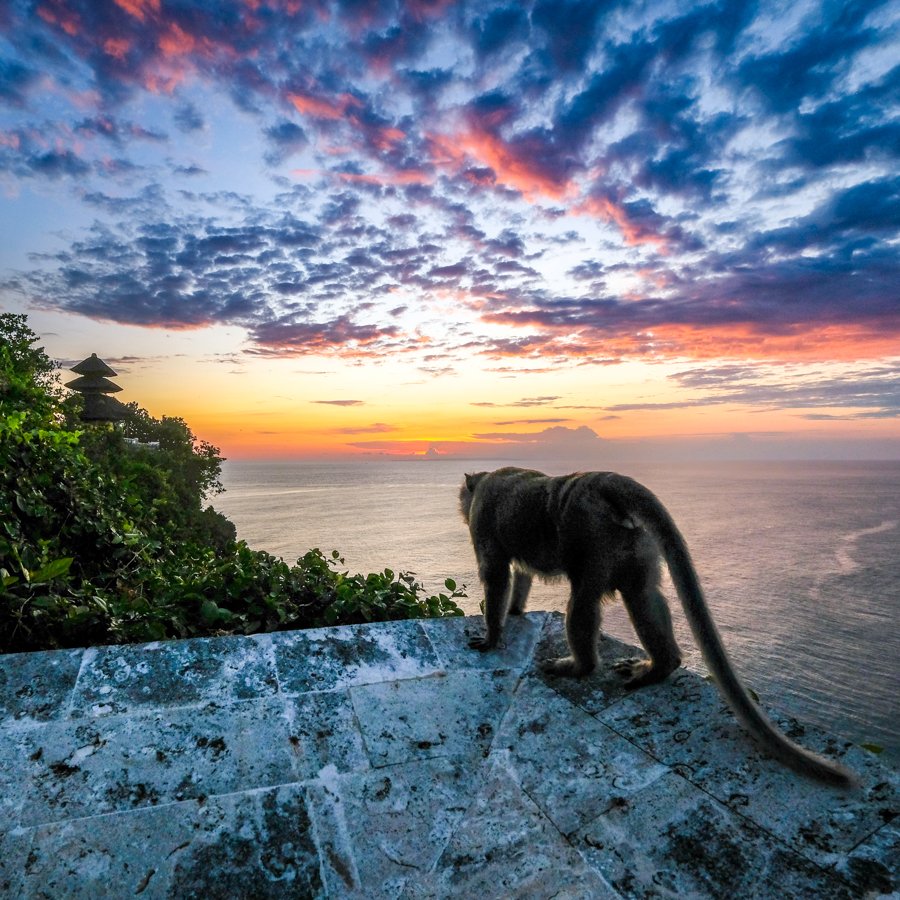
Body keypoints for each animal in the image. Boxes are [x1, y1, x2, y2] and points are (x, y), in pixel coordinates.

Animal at [460, 468, 856, 784]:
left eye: (465, 498)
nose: (461, 506)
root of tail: (600, 479)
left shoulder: (483, 520)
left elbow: (496, 574)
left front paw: (491, 636)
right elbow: (520, 575)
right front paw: (514, 612)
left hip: (591, 536)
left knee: (583, 601)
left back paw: (580, 666)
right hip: (632, 541)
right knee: (642, 596)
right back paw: (662, 665)